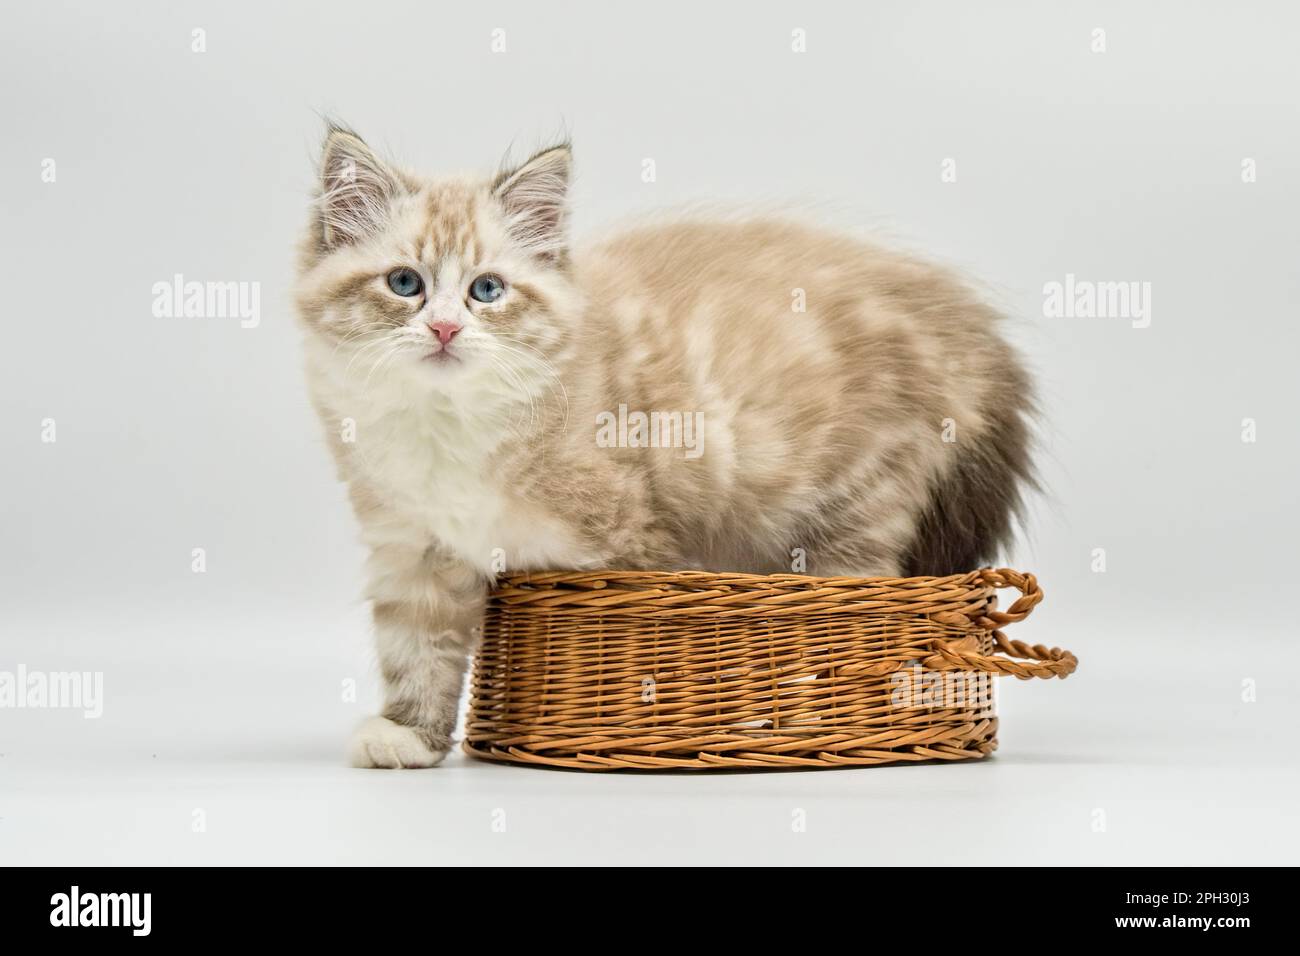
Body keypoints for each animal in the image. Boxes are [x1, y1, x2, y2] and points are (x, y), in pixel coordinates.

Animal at [295, 127, 1034, 770]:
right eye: (404, 283)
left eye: (487, 290)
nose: (446, 330)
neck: (447, 426)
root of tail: (973, 330)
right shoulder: (413, 550)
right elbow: (417, 654)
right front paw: (409, 737)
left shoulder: (629, 539)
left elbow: (643, 644)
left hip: (856, 512)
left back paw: (804, 718)